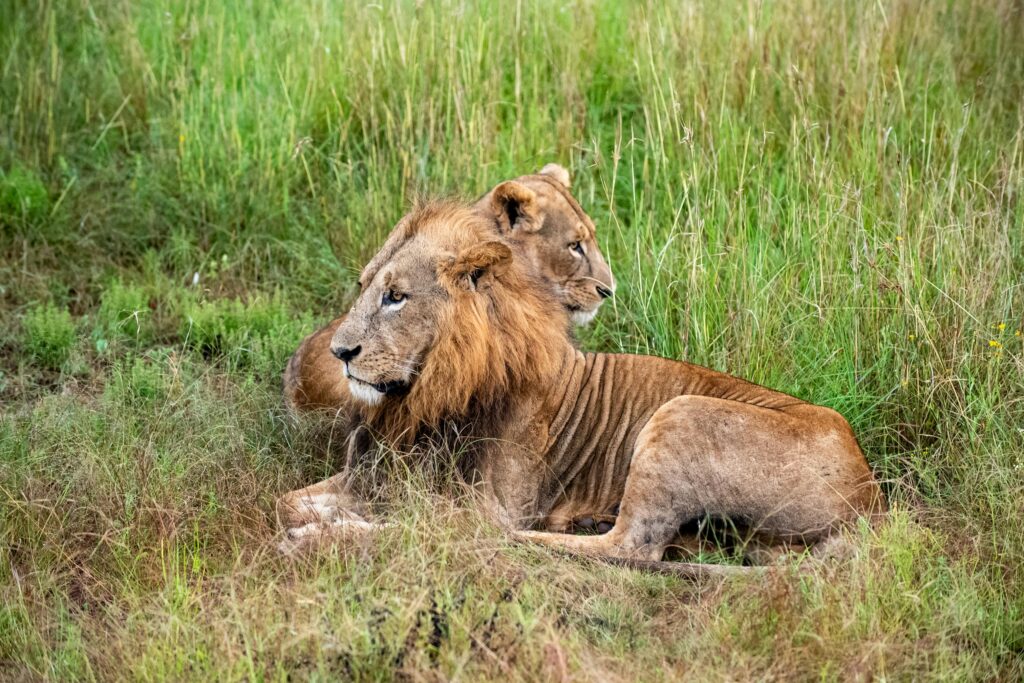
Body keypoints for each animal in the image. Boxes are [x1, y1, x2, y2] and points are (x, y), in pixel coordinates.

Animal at [286, 201, 888, 573]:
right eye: (364, 287)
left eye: (396, 297)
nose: (339, 353)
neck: (421, 397)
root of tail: (871, 500)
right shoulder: (369, 476)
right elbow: (286, 501)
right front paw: (316, 516)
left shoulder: (492, 505)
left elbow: (416, 526)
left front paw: (328, 532)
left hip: (682, 411)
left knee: (629, 548)